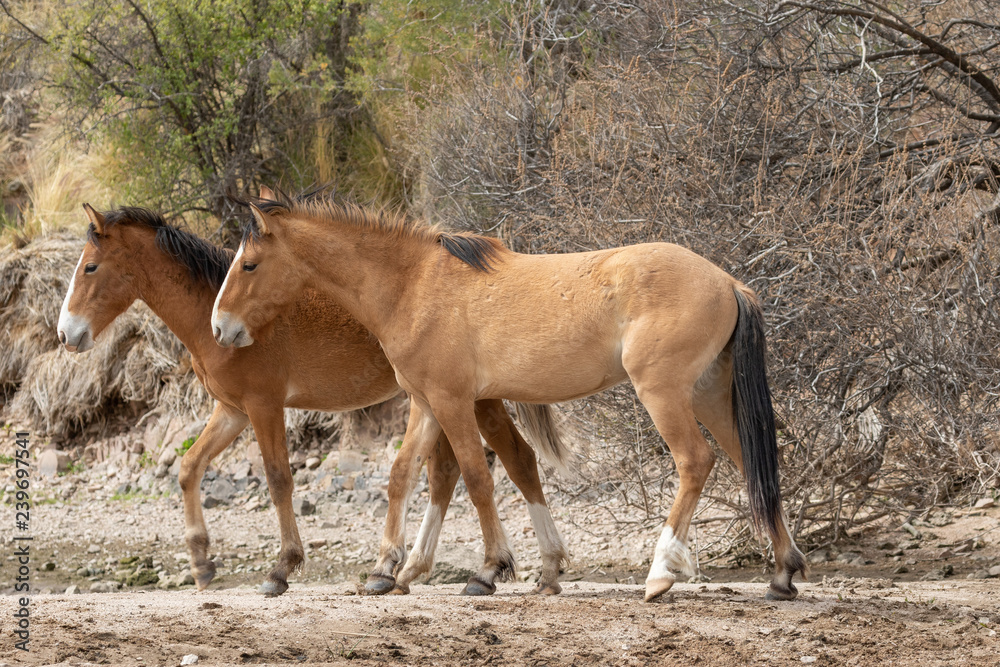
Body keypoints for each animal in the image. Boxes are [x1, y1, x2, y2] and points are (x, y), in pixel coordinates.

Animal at [56, 199, 569, 597]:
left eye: (90, 267)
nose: (66, 334)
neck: (212, 313)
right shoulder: (232, 412)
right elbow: (188, 468)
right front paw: (202, 564)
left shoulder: (263, 406)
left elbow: (279, 479)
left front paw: (281, 569)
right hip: (440, 402)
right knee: (448, 473)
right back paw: (416, 571)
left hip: (469, 400)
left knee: (512, 460)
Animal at [211, 191, 807, 603]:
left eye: (249, 264)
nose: (221, 328)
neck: (413, 285)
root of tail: (729, 282)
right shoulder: (426, 403)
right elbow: (403, 474)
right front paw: (386, 571)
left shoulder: (453, 402)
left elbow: (476, 477)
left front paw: (488, 570)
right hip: (708, 396)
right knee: (747, 461)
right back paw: (782, 574)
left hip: (663, 394)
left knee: (695, 461)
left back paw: (660, 574)